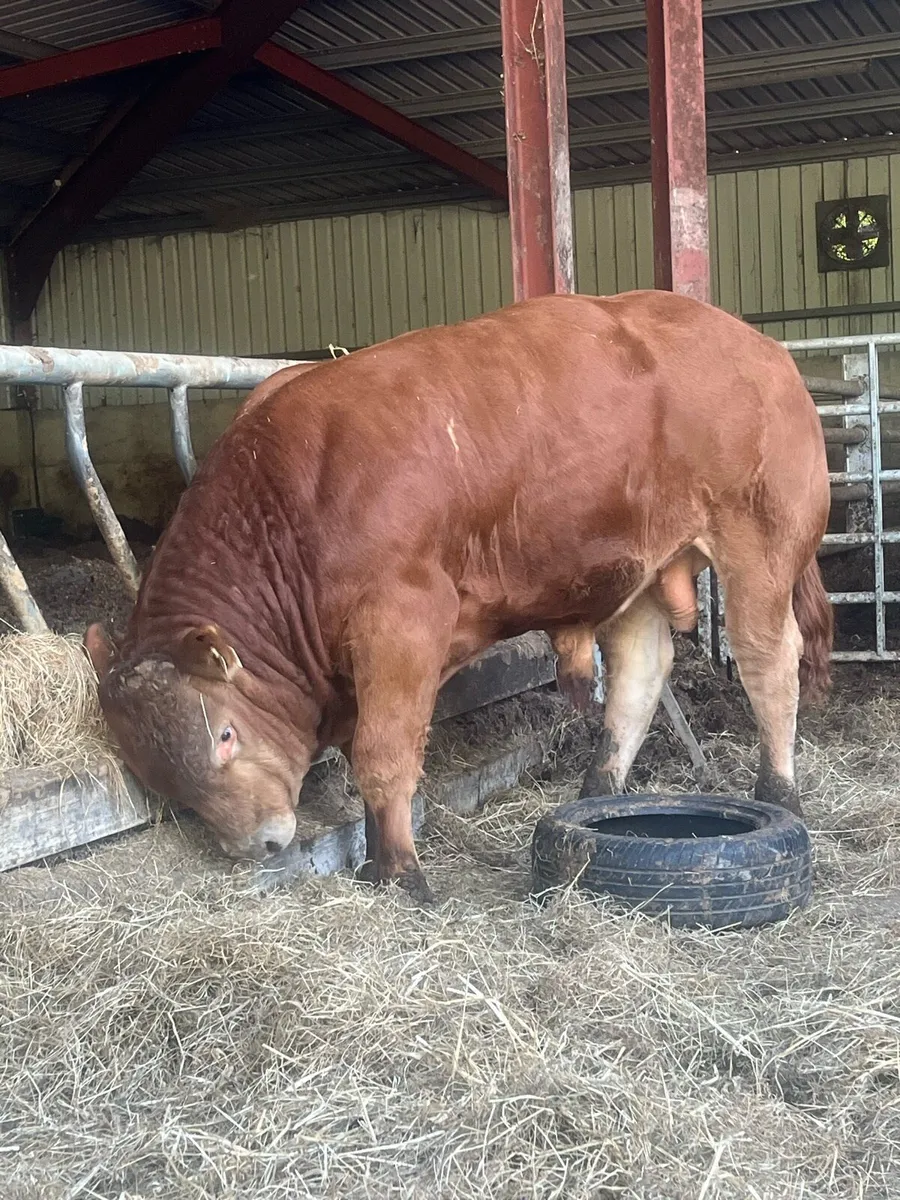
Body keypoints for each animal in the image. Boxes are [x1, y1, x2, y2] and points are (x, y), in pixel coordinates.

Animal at [84, 290, 833, 904]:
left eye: (227, 735)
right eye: (156, 773)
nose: (257, 845)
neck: (290, 495)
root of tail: (760, 347)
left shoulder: (402, 621)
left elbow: (383, 755)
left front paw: (400, 875)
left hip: (760, 542)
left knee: (769, 662)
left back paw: (780, 794)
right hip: (639, 568)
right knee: (642, 674)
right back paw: (596, 793)